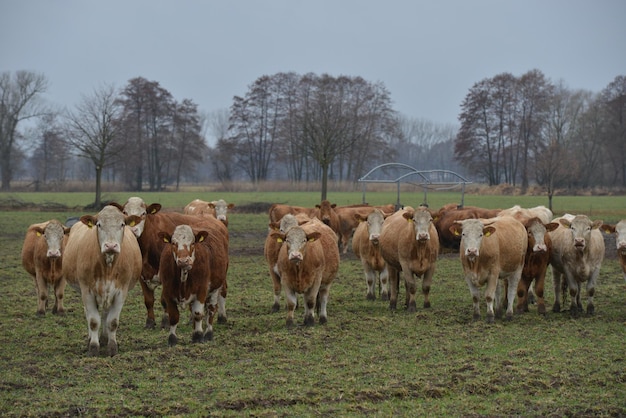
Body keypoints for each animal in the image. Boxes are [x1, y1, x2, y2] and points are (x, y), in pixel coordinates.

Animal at [62, 206, 141, 356]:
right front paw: (93, 347)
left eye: (122, 224)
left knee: (105, 314)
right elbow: (93, 321)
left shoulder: (121, 291)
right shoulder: (87, 291)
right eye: (99, 225)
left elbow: (113, 322)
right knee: (89, 314)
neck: (107, 267)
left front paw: (112, 346)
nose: (110, 246)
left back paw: (104, 338)